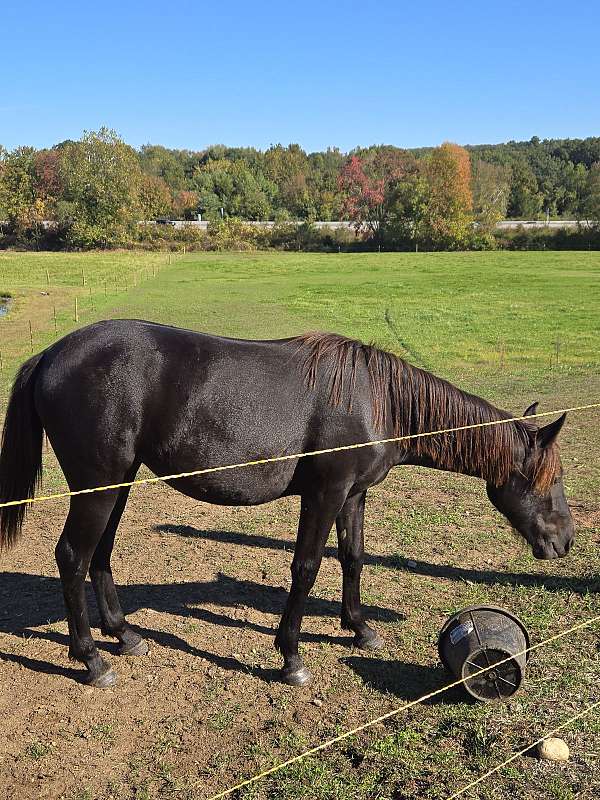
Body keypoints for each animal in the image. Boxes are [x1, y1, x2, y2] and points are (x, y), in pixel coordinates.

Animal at [0, 321, 574, 689]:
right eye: (549, 478)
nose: (564, 542)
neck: (376, 400)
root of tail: (50, 355)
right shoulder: (324, 494)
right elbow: (306, 566)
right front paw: (291, 656)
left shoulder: (353, 494)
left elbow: (352, 558)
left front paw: (359, 628)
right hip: (97, 487)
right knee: (73, 557)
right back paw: (91, 659)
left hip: (117, 483)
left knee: (99, 556)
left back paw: (124, 635)